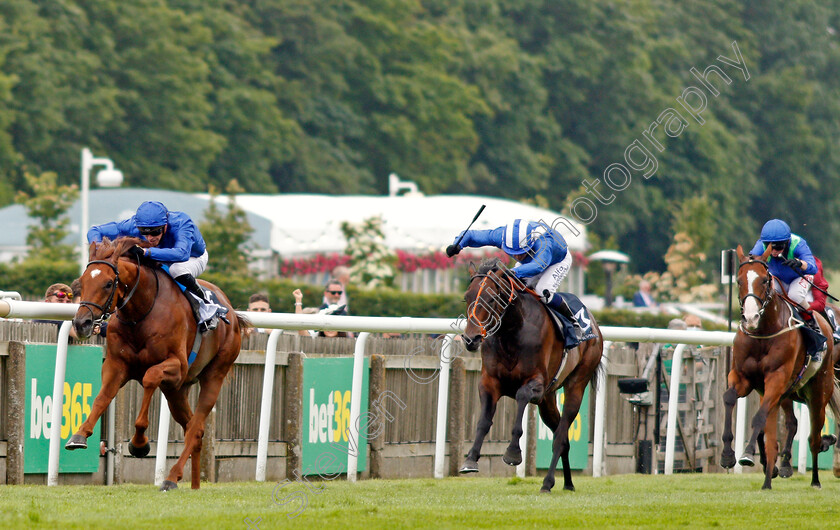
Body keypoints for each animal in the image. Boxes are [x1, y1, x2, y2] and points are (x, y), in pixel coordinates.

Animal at [67, 237, 248, 488]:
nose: (81, 323)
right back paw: (193, 485)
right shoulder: (116, 364)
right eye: (81, 282)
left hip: (214, 374)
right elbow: (102, 397)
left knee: (195, 428)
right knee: (193, 428)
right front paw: (79, 435)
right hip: (177, 391)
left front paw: (139, 444)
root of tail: (230, 310)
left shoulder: (177, 366)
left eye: (107, 284)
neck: (141, 312)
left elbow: (150, 377)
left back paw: (171, 478)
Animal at [456, 258, 600, 490]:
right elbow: (483, 421)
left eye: (492, 298)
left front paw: (513, 453)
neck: (512, 331)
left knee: (560, 436)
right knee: (563, 438)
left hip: (577, 385)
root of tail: (594, 324)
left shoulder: (536, 383)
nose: (471, 339)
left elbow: (521, 398)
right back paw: (568, 483)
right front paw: (470, 459)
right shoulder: (489, 382)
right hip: (548, 400)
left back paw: (547, 483)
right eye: (466, 297)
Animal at [720, 245, 840, 488]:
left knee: (813, 436)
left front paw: (747, 454)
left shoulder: (776, 378)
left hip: (817, 392)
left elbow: (759, 418)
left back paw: (814, 478)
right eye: (738, 280)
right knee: (790, 423)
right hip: (788, 392)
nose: (750, 317)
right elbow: (729, 399)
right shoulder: (742, 377)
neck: (762, 332)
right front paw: (727, 455)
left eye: (765, 280)